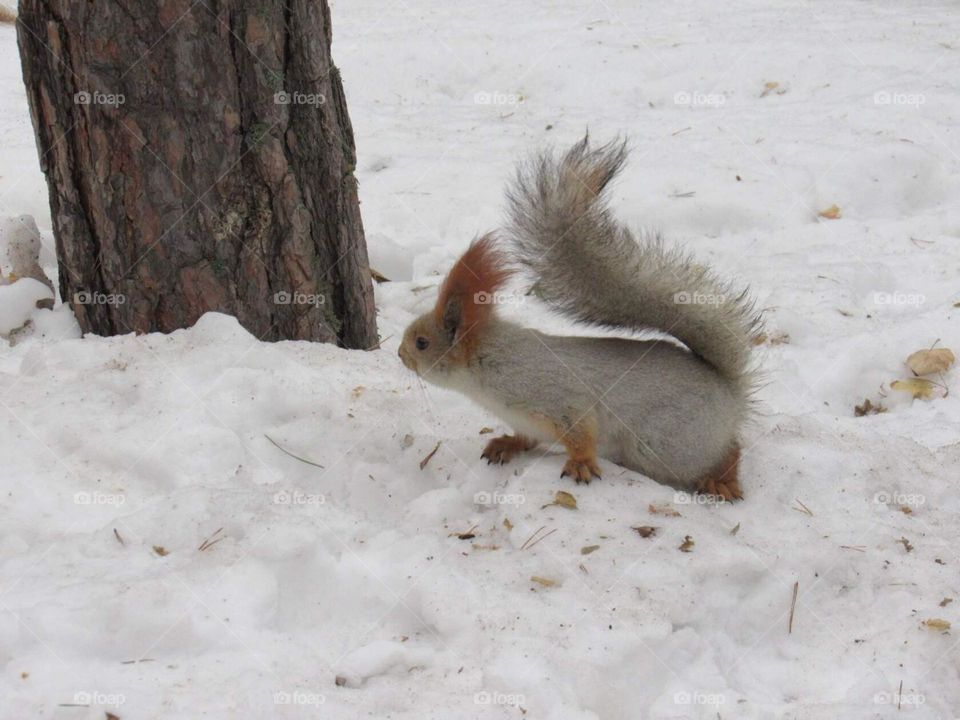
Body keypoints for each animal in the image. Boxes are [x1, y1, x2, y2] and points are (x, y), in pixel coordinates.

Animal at [398, 136, 761, 500]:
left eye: (422, 342)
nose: (400, 355)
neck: (485, 364)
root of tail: (730, 393)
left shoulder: (557, 396)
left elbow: (580, 431)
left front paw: (581, 464)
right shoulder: (526, 420)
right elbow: (526, 438)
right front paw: (507, 444)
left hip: (665, 440)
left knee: (729, 450)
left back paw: (721, 482)